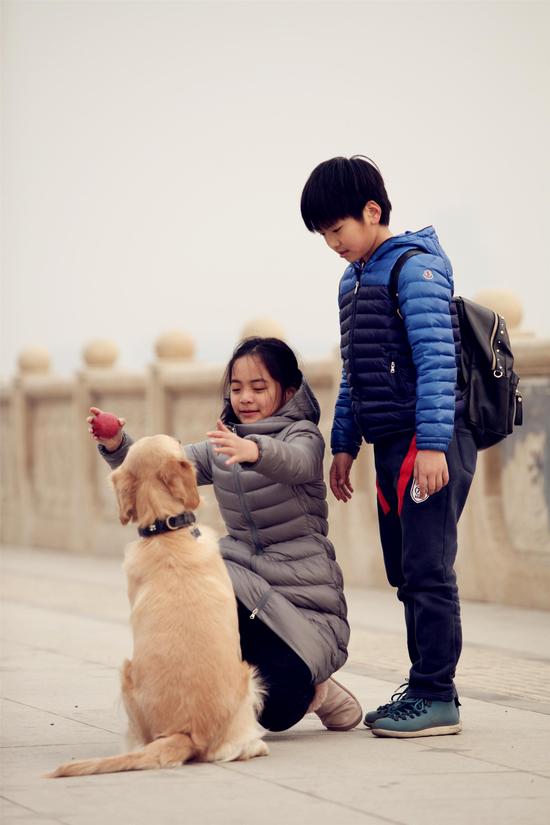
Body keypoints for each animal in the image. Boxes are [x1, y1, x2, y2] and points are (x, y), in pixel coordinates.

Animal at [49, 434, 270, 776]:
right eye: (175, 442)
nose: (182, 439)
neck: (164, 529)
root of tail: (186, 732)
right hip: (239, 676)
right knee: (234, 750)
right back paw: (257, 745)